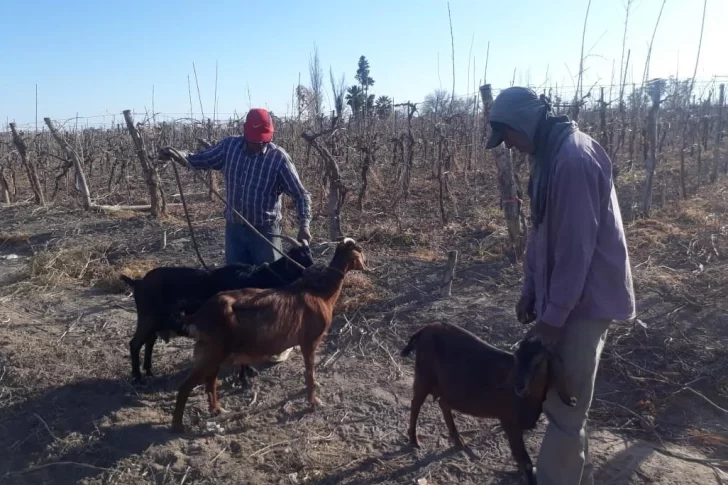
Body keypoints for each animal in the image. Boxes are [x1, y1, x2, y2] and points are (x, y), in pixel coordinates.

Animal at [120, 236, 312, 384]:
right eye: (299, 257)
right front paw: (244, 379)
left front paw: (248, 373)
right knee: (135, 343)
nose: (312, 271)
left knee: (149, 341)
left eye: (309, 253)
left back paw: (149, 372)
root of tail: (138, 282)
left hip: (156, 322)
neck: (257, 277)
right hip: (147, 319)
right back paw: (137, 377)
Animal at [169, 237, 364, 432]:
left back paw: (217, 410)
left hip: (213, 353)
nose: (365, 265)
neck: (320, 293)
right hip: (212, 352)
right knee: (186, 386)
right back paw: (178, 425)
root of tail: (199, 314)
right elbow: (309, 371)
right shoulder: (309, 341)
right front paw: (313, 402)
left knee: (210, 381)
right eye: (359, 249)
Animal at [398, 322, 576, 484]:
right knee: (416, 404)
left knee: (443, 403)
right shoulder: (509, 422)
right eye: (517, 359)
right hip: (423, 376)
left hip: (449, 388)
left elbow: (520, 458)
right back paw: (414, 440)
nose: (518, 386)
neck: (526, 399)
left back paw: (458, 440)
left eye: (538, 362)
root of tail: (425, 329)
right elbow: (525, 461)